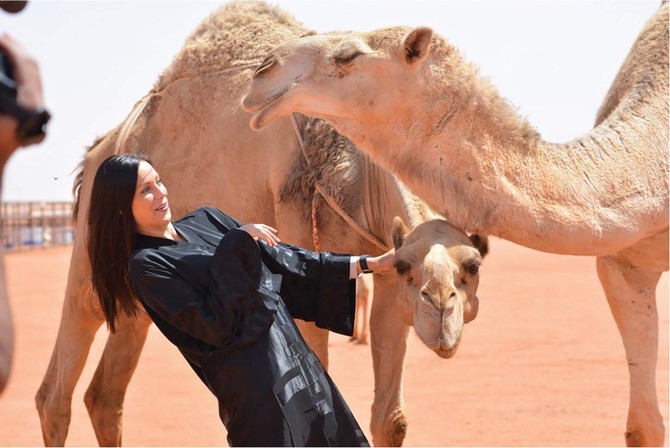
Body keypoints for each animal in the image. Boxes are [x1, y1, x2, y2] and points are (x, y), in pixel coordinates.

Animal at [35, 1, 488, 446]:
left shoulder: (386, 264)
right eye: (413, 271)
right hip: (92, 251)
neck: (360, 168)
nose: (441, 312)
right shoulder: (302, 223)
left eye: (473, 266)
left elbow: (391, 420)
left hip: (137, 302)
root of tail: (98, 151)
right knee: (56, 387)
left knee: (105, 394)